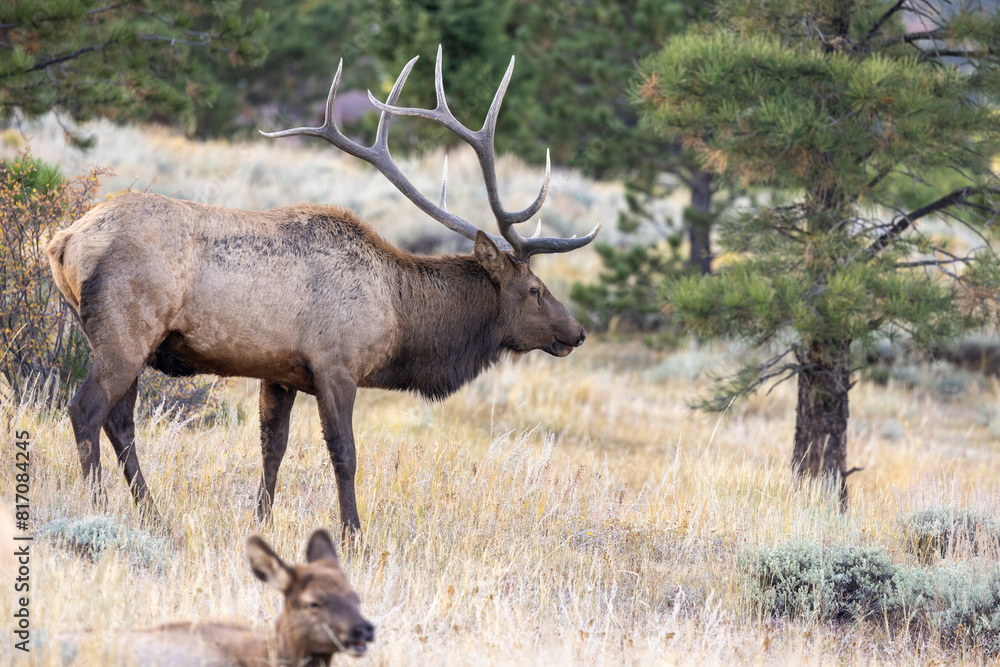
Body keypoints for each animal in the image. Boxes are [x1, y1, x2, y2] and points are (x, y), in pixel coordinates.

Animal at [47, 45, 596, 536]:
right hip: (125, 331)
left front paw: (261, 522)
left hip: (120, 339)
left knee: (121, 422)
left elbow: (272, 448)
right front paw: (354, 533)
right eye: (534, 288)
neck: (399, 317)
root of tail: (62, 240)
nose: (577, 332)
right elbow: (344, 454)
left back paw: (153, 514)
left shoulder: (279, 373)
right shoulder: (337, 365)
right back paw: (98, 511)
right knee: (86, 410)